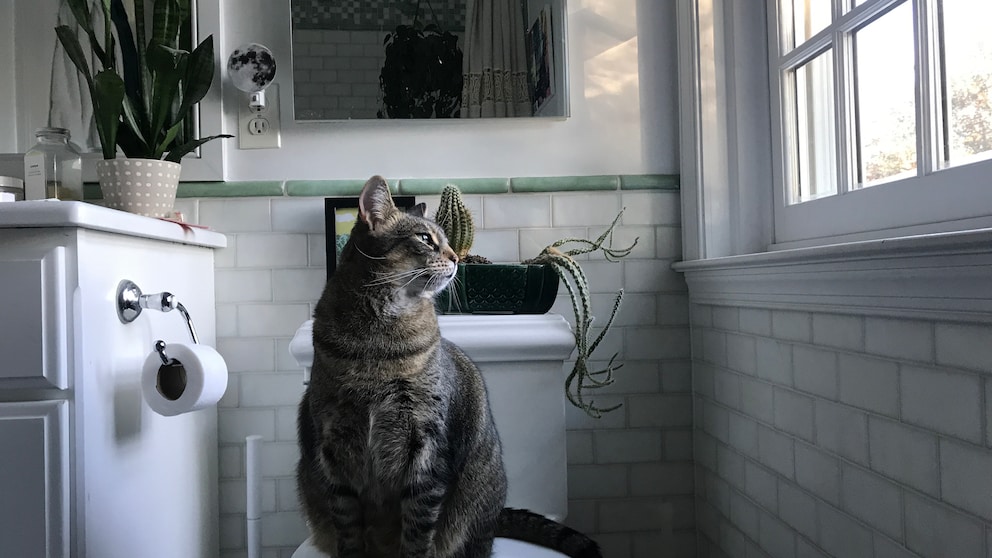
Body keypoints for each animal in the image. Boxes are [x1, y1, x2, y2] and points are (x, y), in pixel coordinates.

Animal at [298, 178, 600, 558]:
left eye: (444, 239)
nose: (456, 258)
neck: (378, 337)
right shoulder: (334, 447)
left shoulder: (426, 444)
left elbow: (417, 532)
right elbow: (349, 531)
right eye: (425, 238)